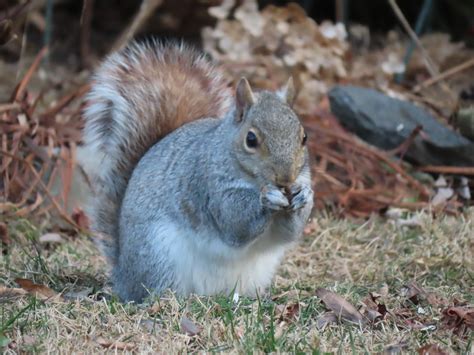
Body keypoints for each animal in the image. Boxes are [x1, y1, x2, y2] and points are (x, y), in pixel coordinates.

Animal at [83, 41, 312, 304]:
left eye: (304, 137)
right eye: (251, 139)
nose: (286, 178)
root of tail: (123, 275)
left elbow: (287, 234)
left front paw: (304, 196)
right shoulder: (206, 184)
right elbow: (235, 222)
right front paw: (267, 198)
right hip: (158, 255)